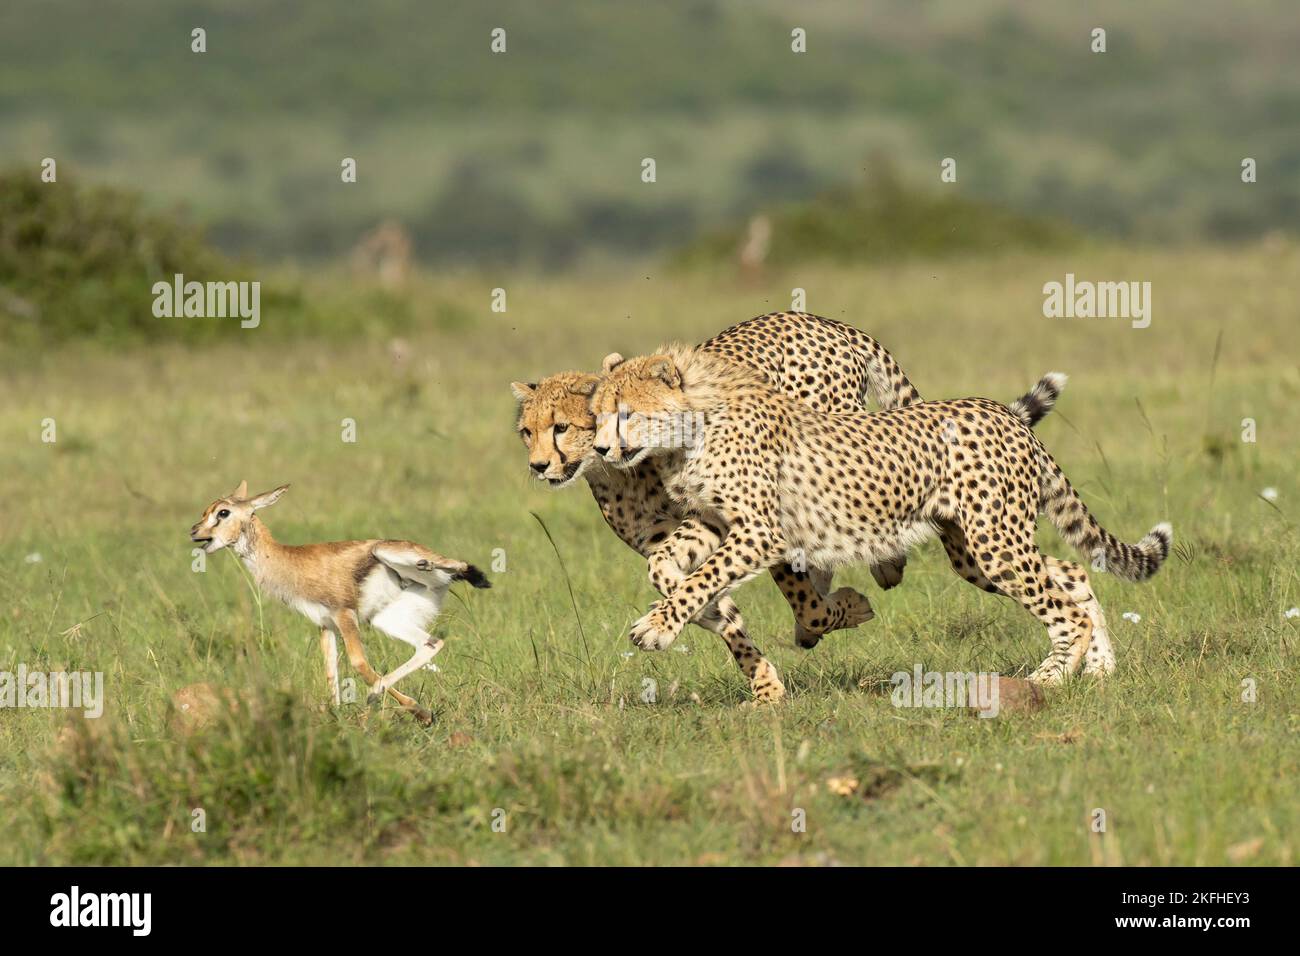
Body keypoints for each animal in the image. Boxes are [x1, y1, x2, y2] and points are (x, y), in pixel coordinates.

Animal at [590, 348, 1170, 686]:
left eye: (628, 414)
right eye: (597, 415)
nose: (599, 449)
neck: (694, 426)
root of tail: (1006, 414)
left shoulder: (761, 531)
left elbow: (703, 576)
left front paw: (658, 628)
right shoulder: (717, 520)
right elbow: (668, 563)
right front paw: (689, 606)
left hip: (994, 543)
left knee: (1064, 606)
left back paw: (1049, 678)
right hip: (976, 551)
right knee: (1071, 573)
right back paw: (1099, 668)